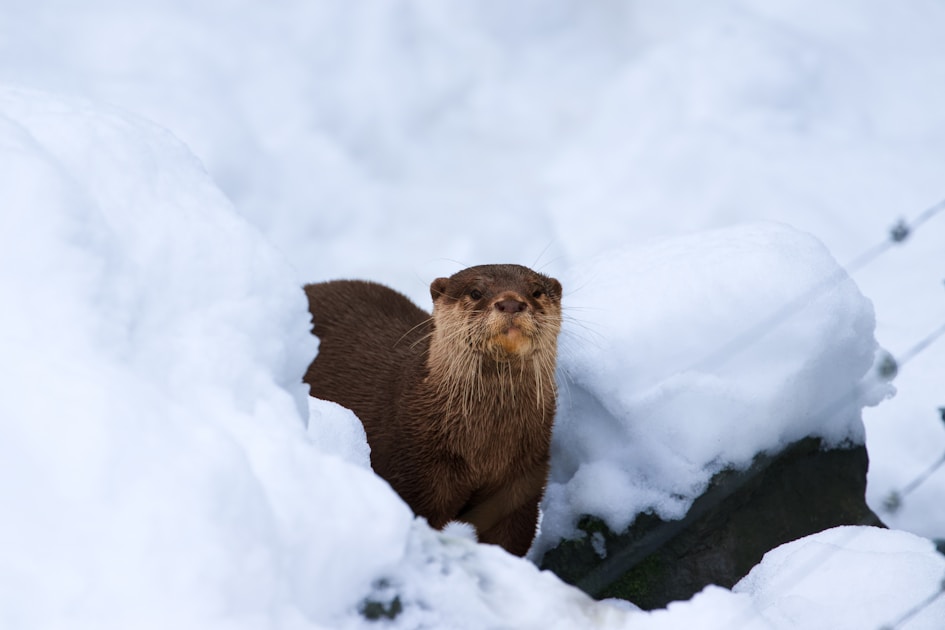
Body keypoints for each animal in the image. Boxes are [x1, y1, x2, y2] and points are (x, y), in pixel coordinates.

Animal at [303, 264, 562, 556]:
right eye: (475, 292)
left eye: (536, 291)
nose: (510, 303)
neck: (482, 451)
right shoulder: (413, 472)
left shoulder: (522, 479)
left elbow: (510, 536)